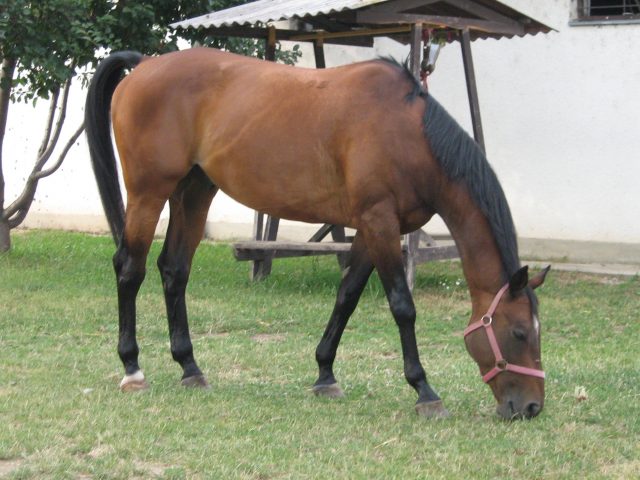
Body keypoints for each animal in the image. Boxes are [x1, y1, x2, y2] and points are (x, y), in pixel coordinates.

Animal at [85, 47, 552, 418]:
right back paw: (132, 369)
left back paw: (190, 367)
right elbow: (402, 306)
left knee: (174, 270)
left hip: (194, 192)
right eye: (519, 333)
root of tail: (145, 64)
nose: (531, 407)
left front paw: (325, 374)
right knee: (130, 269)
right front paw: (424, 391)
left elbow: (346, 297)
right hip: (148, 192)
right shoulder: (380, 223)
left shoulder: (370, 229)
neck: (410, 135)